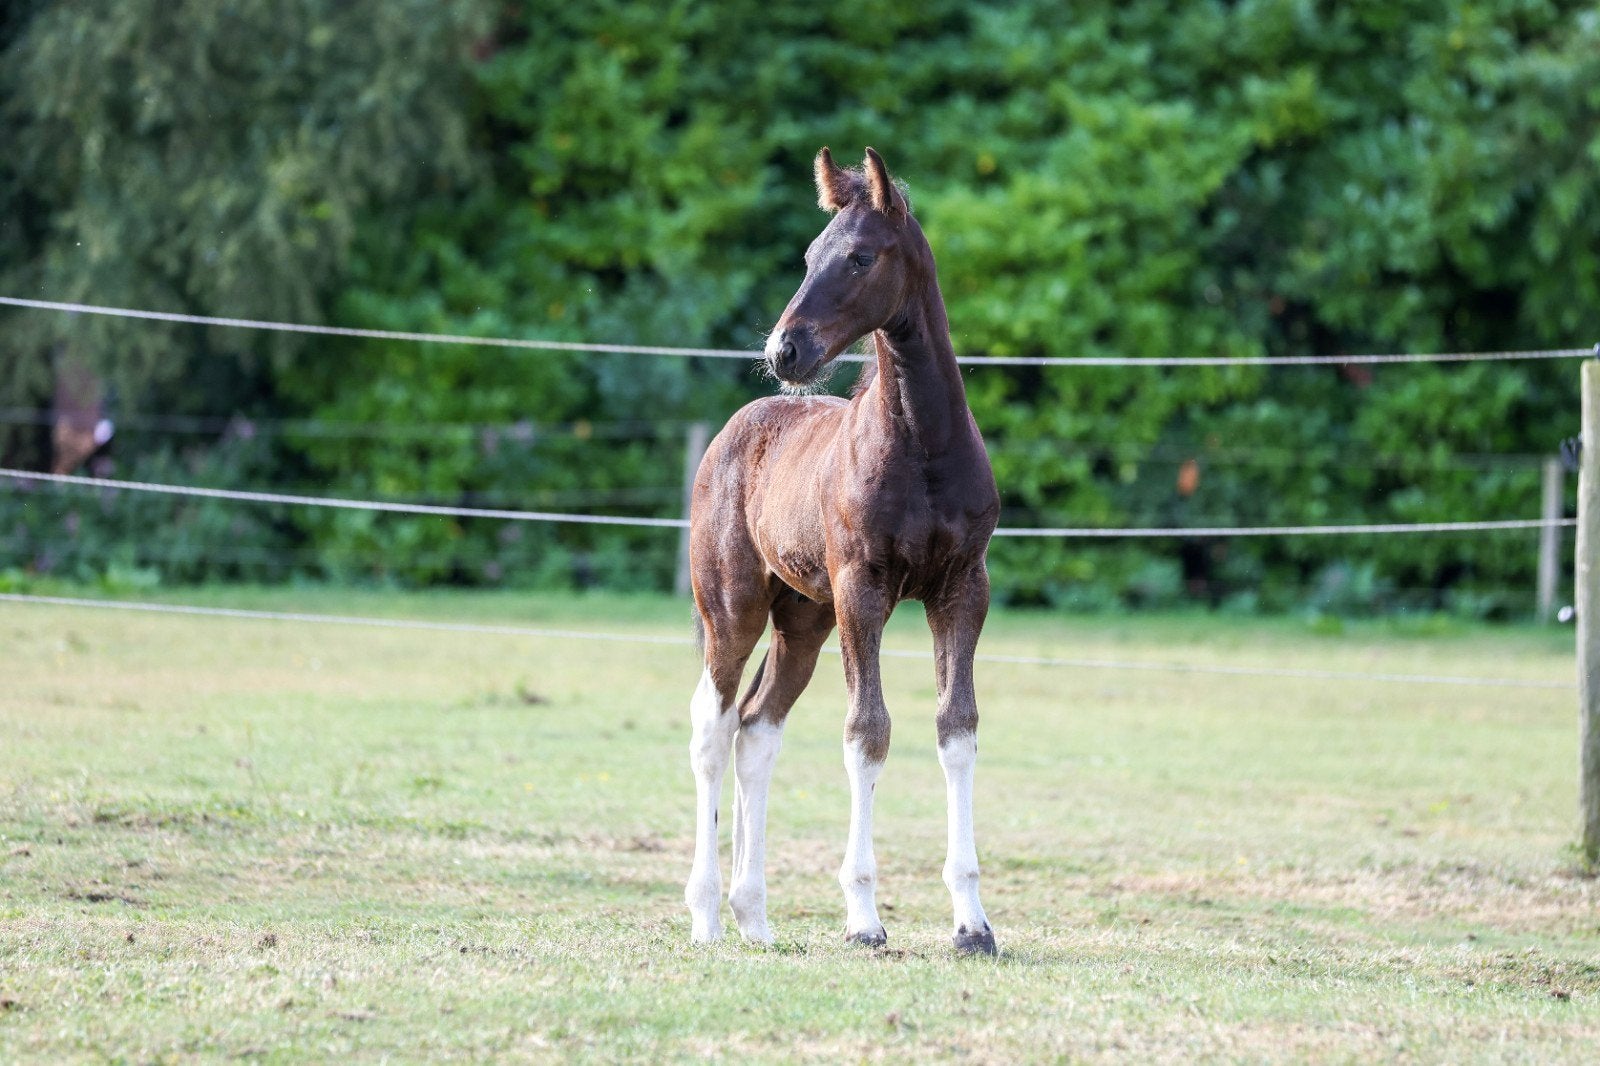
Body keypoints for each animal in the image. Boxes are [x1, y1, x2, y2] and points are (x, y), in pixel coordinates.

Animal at [684, 147, 1000, 955]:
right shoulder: (864, 589)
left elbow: (957, 728)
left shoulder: (964, 588)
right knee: (714, 724)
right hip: (732, 606)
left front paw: (972, 922)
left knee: (758, 727)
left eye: (860, 256)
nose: (783, 349)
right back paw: (706, 915)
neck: (923, 446)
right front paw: (863, 917)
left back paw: (754, 916)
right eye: (808, 256)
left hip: (803, 620)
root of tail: (735, 428)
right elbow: (868, 731)